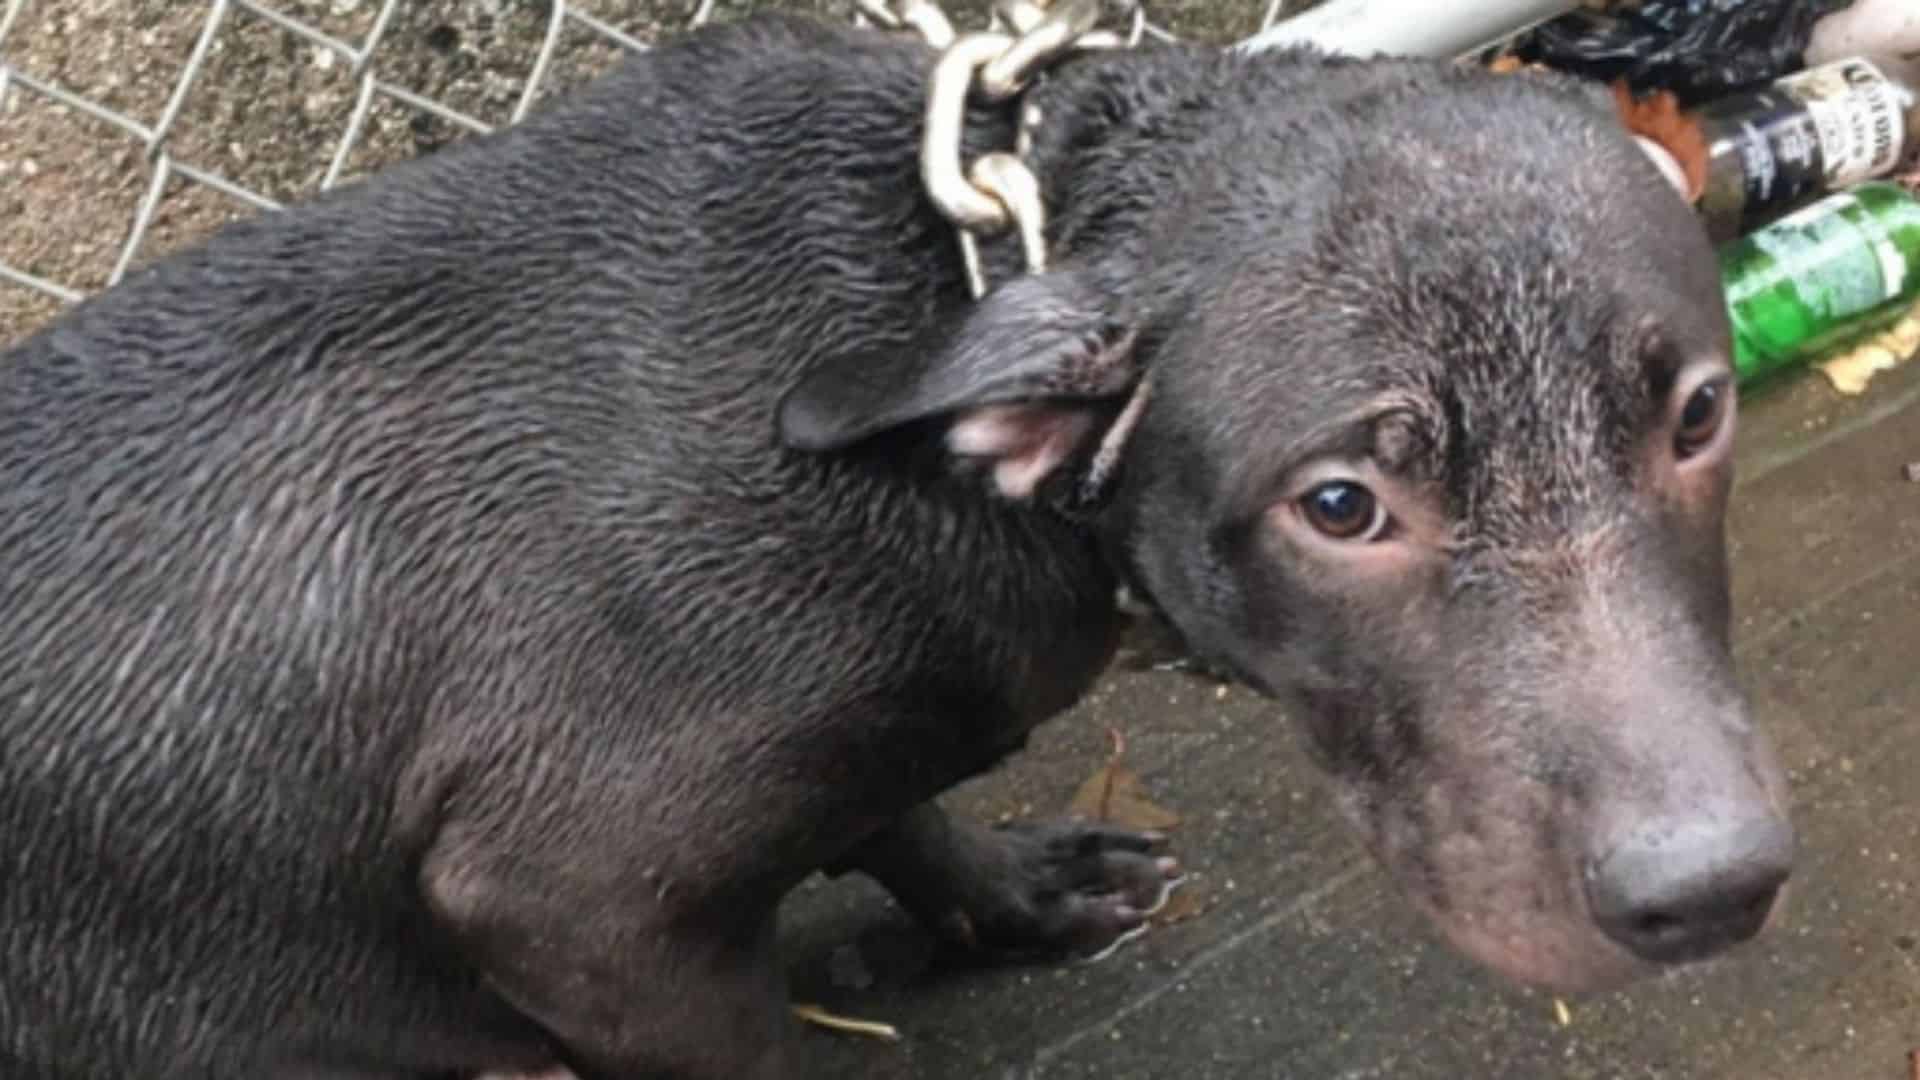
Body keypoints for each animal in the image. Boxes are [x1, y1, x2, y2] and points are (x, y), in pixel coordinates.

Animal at [0, 10, 1789, 1076]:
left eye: (1698, 416)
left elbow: (899, 807)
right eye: (1341, 504)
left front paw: (1010, 891)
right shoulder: (573, 907)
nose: (1713, 894)